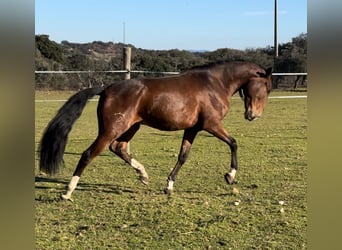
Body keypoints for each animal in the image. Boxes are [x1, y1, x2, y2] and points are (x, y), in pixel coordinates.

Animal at [38, 61, 272, 200]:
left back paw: (143, 174)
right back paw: (68, 192)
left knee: (118, 148)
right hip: (112, 129)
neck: (215, 84)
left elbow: (183, 156)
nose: (253, 115)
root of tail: (106, 89)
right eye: (267, 87)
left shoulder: (192, 129)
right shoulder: (211, 124)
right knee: (89, 154)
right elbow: (233, 142)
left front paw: (168, 186)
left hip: (132, 126)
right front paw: (230, 176)